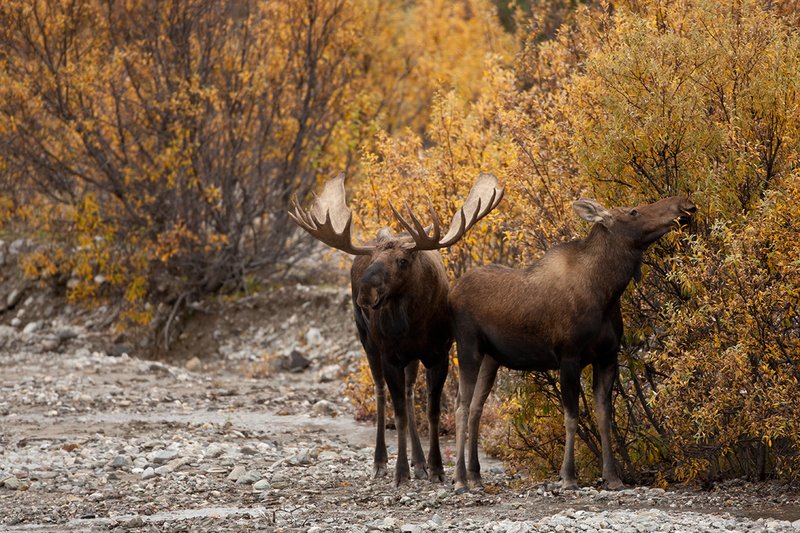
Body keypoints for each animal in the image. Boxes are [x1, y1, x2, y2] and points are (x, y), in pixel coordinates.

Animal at [289, 172, 503, 486]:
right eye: (373, 260)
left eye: (402, 261)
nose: (365, 293)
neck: (413, 324)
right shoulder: (390, 355)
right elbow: (398, 413)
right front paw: (400, 472)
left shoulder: (438, 354)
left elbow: (432, 412)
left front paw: (436, 467)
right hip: (367, 341)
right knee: (381, 392)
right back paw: (380, 462)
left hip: (411, 358)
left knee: (409, 390)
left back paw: (419, 462)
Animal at [449, 195, 697, 493]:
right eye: (633, 212)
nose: (684, 205)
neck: (606, 293)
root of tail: (452, 291)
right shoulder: (569, 356)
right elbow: (572, 417)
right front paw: (568, 476)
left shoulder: (608, 356)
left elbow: (604, 416)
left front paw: (612, 476)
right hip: (467, 347)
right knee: (461, 406)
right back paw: (460, 479)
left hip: (491, 357)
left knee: (476, 407)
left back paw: (475, 475)